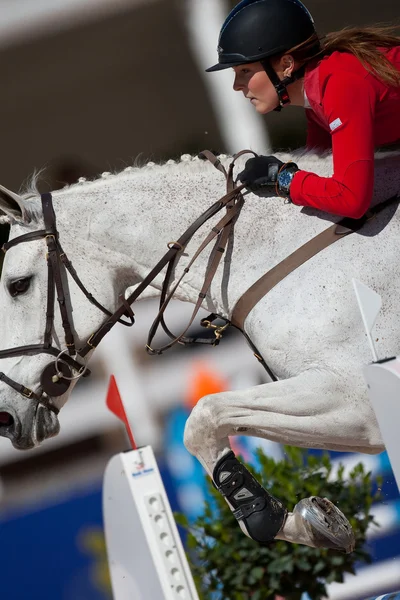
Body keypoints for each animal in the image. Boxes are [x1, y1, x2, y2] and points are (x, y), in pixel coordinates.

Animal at [0, 150, 400, 552]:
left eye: (18, 285)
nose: (5, 419)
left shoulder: (352, 400)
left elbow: (202, 418)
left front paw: (277, 518)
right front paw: (310, 522)